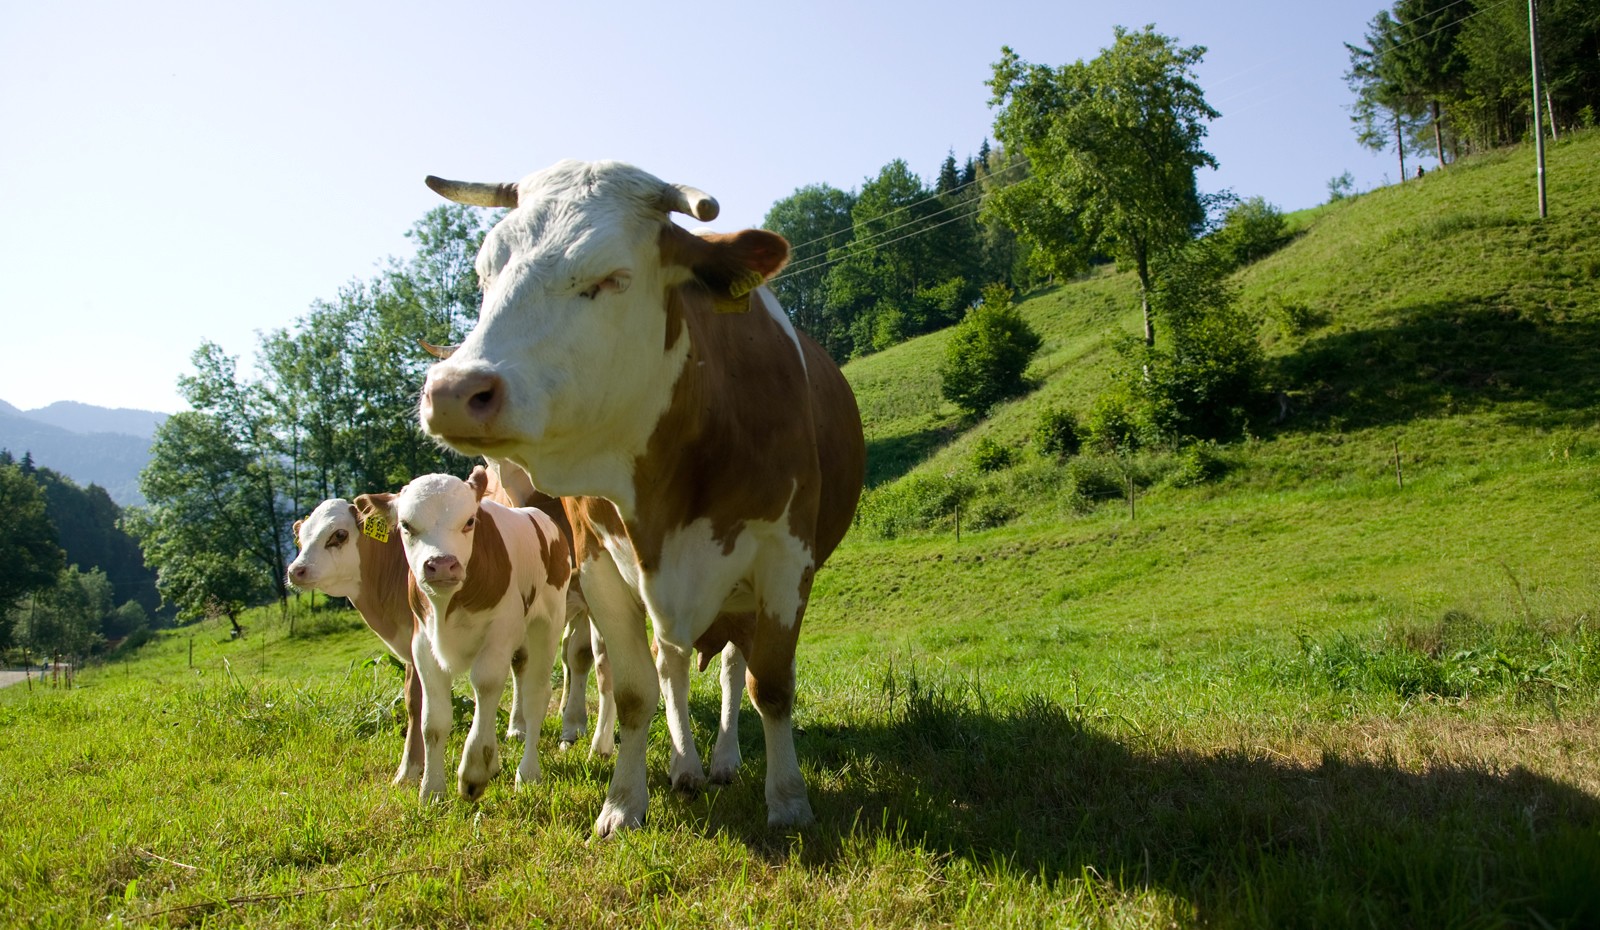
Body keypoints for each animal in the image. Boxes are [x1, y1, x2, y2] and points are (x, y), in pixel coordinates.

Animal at [358, 467, 576, 800]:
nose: (441, 564)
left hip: (548, 623)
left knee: (535, 696)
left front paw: (474, 770)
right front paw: (431, 789)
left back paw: (527, 773)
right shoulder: (423, 645)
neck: (447, 604)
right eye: (406, 526)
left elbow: (485, 687)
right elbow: (433, 721)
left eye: (469, 521)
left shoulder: (500, 635)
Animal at [412, 159, 864, 832]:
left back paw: (723, 758)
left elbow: (773, 686)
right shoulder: (599, 561)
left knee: (732, 671)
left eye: (612, 278)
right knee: (671, 664)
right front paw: (624, 802)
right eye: (485, 274)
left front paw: (787, 801)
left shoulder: (786, 559)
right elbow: (632, 690)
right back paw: (684, 765)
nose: (452, 390)